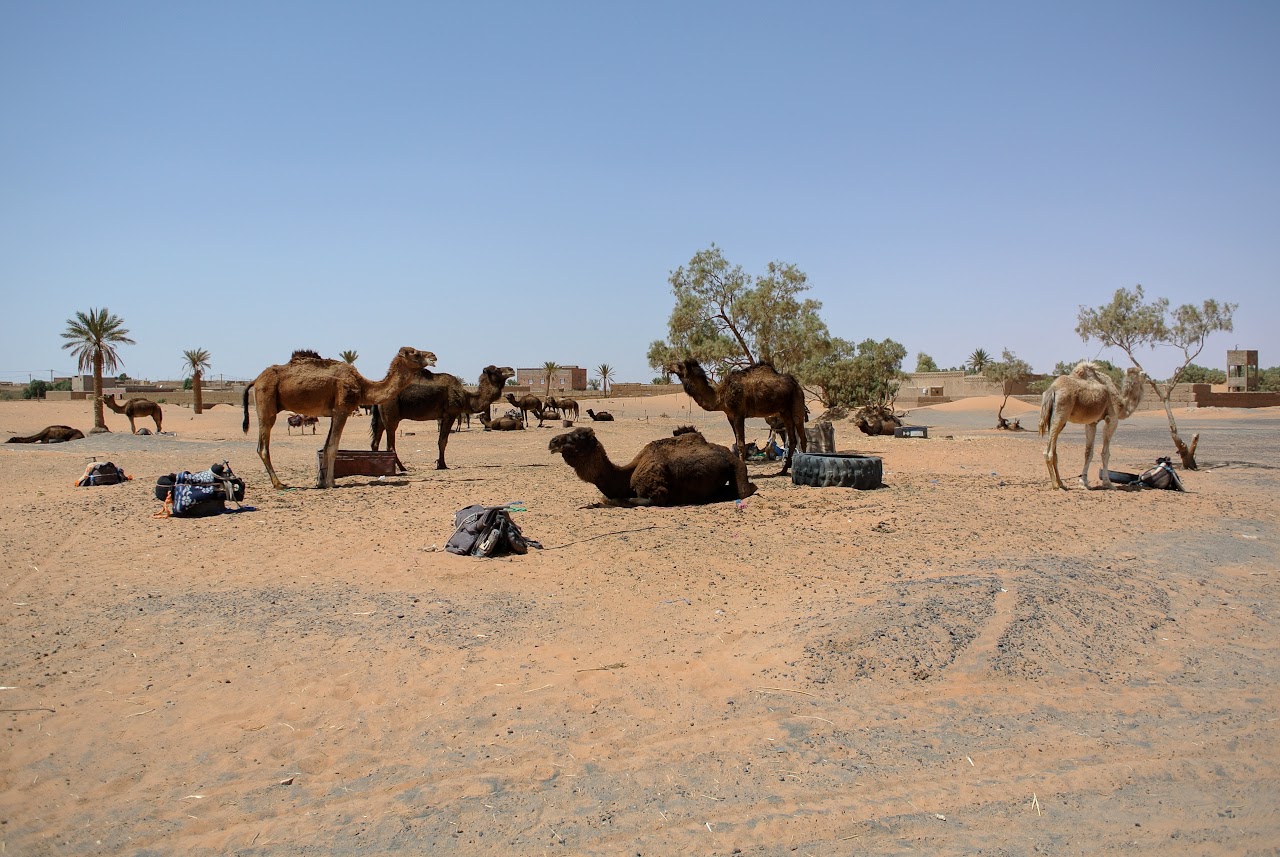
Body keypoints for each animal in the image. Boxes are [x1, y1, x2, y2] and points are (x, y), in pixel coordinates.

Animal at [241, 345, 437, 491]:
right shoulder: (342, 410)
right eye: (415, 352)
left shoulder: (333, 413)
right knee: (262, 447)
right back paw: (279, 484)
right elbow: (333, 447)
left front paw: (321, 481)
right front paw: (331, 483)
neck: (363, 386)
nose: (433, 356)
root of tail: (256, 380)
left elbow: (326, 445)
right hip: (266, 406)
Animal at [371, 363, 514, 470]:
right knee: (390, 444)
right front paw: (442, 464)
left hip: (381, 418)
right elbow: (443, 441)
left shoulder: (442, 417)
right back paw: (402, 468)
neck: (466, 397)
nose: (511, 369)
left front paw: (439, 463)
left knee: (375, 442)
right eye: (496, 370)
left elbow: (441, 440)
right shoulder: (450, 414)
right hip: (391, 414)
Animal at [550, 427, 757, 506]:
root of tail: (728, 452)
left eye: (577, 437)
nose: (552, 442)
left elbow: (625, 500)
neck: (627, 474)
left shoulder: (656, 494)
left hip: (738, 465)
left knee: (745, 489)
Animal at [665, 355, 803, 475]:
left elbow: (741, 444)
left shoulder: (738, 414)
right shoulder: (730, 416)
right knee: (793, 440)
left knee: (802, 436)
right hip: (784, 411)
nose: (668, 366)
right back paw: (783, 470)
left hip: (796, 403)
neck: (720, 396)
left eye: (679, 365)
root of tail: (795, 383)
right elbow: (737, 443)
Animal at [1034, 358, 1146, 486]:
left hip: (1053, 418)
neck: (1121, 404)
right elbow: (1105, 453)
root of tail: (1052, 389)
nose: (1147, 375)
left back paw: (1061, 483)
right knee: (1048, 452)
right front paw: (1108, 482)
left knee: (1052, 449)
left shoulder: (1091, 423)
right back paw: (1055, 485)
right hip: (1061, 414)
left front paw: (1083, 481)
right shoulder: (1112, 419)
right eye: (1142, 374)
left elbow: (1088, 452)